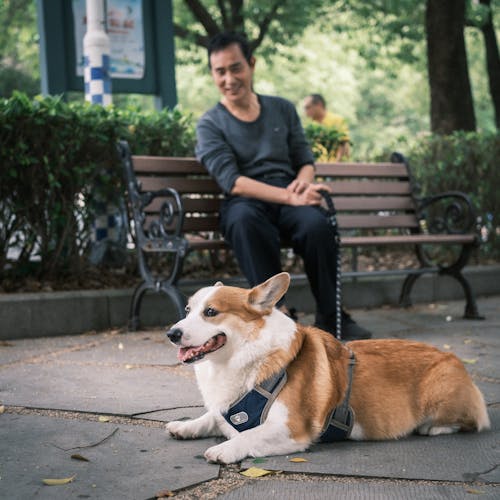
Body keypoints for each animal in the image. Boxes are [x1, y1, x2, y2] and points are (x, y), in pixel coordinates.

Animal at [165, 272, 488, 462]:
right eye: (187, 310)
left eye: (210, 312)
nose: (171, 333)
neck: (245, 355)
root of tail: (455, 360)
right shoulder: (226, 408)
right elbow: (211, 417)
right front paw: (185, 426)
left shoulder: (291, 428)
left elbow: (249, 435)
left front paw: (223, 449)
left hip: (439, 392)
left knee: (471, 421)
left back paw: (433, 428)